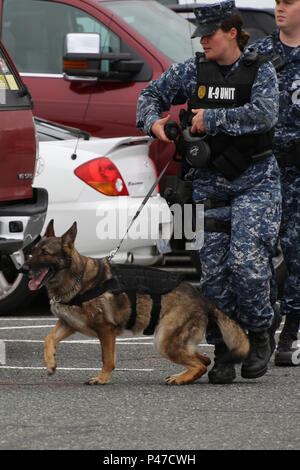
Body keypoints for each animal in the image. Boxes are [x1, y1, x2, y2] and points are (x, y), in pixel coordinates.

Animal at [21, 220, 250, 386]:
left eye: (45, 254)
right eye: (33, 251)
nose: (23, 269)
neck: (75, 278)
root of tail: (202, 298)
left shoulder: (106, 330)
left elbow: (107, 359)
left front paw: (102, 378)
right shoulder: (69, 324)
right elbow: (48, 339)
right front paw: (50, 362)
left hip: (164, 341)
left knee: (200, 364)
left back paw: (181, 379)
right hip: (173, 342)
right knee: (204, 360)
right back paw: (183, 376)